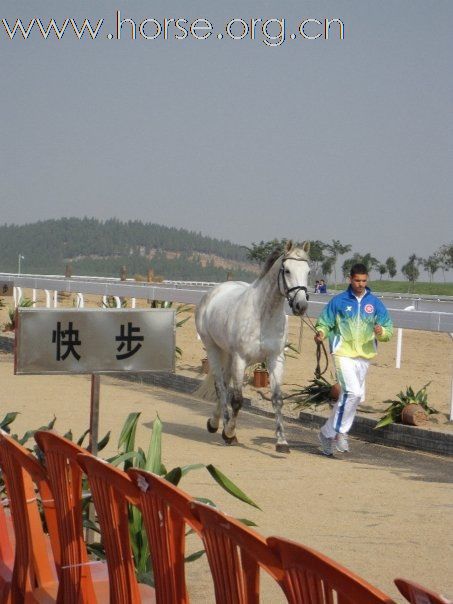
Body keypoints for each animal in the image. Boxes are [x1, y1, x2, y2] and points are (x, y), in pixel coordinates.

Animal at [196, 241, 308, 452]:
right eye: (287, 270)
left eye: (308, 271)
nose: (301, 306)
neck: (263, 315)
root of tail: (213, 292)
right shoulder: (240, 359)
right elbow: (238, 400)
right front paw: (230, 433)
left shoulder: (275, 359)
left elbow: (277, 399)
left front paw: (282, 442)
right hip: (214, 349)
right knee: (220, 387)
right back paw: (221, 428)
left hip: (229, 355)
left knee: (224, 385)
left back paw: (216, 423)